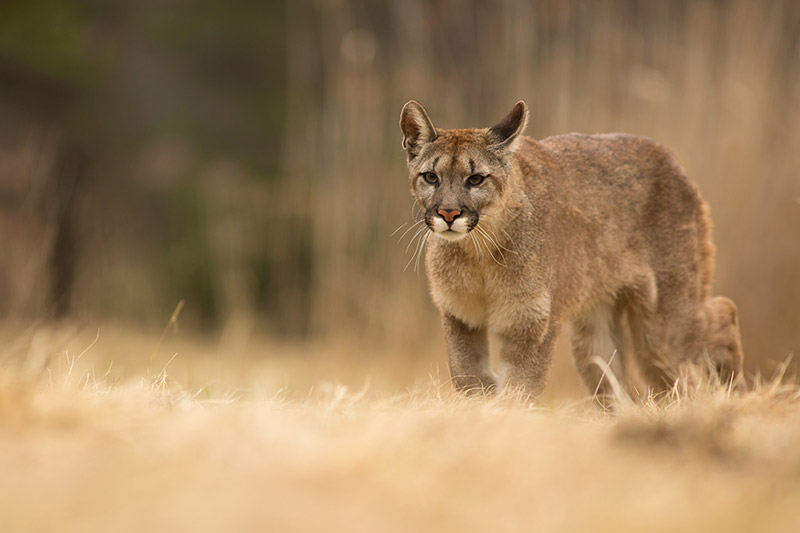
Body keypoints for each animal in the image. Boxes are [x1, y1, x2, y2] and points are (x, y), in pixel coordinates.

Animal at [400, 100, 744, 400]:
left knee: (724, 312)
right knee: (624, 384)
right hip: (596, 331)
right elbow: (467, 376)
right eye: (430, 177)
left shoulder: (532, 323)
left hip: (664, 325)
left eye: (475, 179)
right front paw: (484, 401)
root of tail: (671, 160)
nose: (448, 213)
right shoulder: (460, 316)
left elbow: (519, 386)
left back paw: (735, 393)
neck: (478, 252)